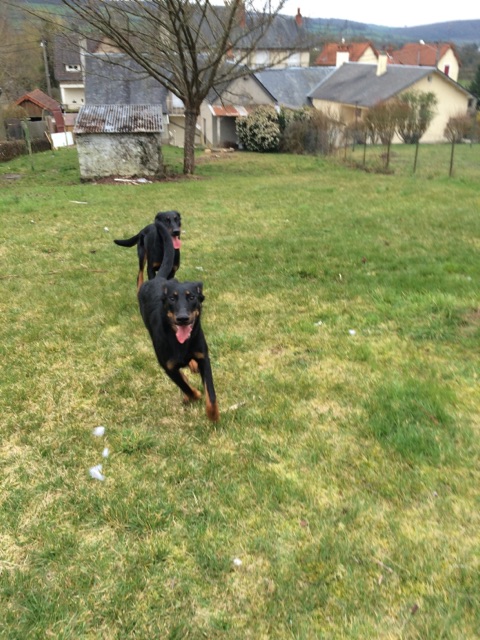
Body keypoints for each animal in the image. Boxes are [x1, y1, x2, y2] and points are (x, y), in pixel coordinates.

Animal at [137, 222, 219, 422]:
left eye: (192, 297)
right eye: (172, 299)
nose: (182, 318)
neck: (180, 343)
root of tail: (158, 278)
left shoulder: (204, 357)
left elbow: (211, 393)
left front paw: (213, 416)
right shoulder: (168, 367)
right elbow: (186, 386)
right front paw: (193, 395)